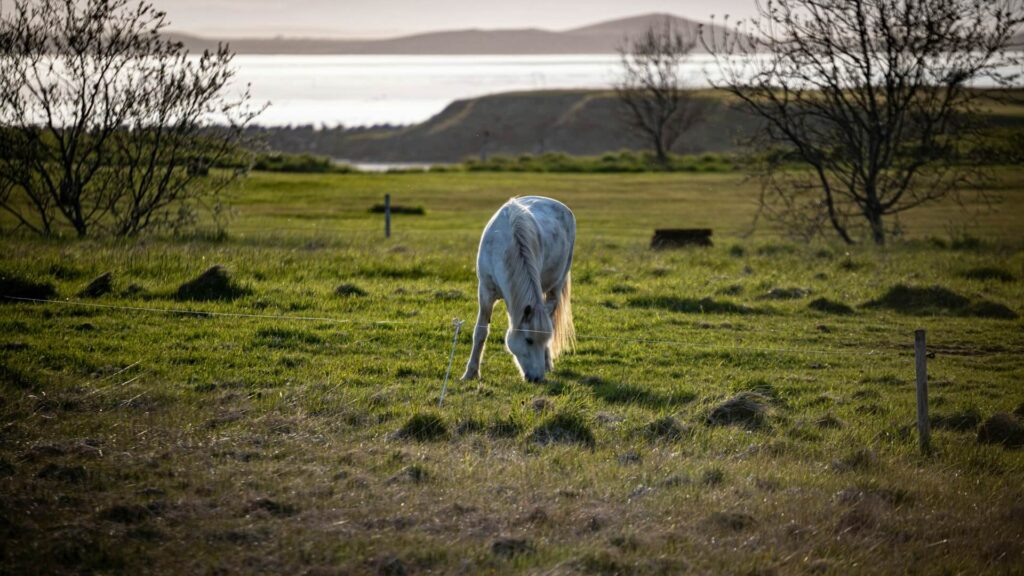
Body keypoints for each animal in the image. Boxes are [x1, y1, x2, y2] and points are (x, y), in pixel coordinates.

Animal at [464, 195, 577, 381]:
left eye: (544, 340)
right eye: (529, 340)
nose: (537, 379)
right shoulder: (485, 292)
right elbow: (480, 332)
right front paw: (470, 373)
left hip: (557, 285)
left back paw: (548, 364)